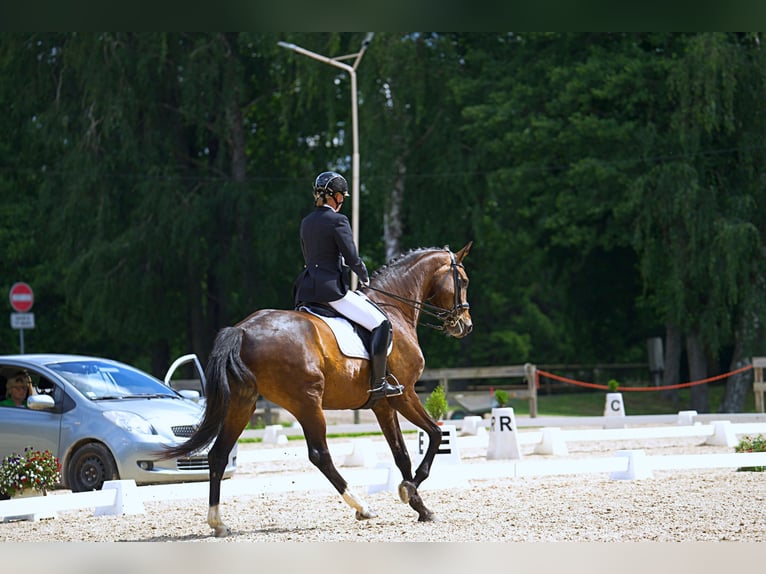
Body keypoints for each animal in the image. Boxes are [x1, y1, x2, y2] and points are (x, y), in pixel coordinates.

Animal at [163, 241, 474, 536]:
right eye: (464, 280)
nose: (465, 326)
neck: (393, 307)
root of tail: (242, 330)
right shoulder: (405, 394)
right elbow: (435, 434)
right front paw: (409, 490)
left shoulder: (383, 404)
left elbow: (401, 454)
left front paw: (420, 506)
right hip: (308, 402)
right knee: (320, 455)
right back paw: (362, 507)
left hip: (244, 402)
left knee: (218, 454)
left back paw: (218, 523)